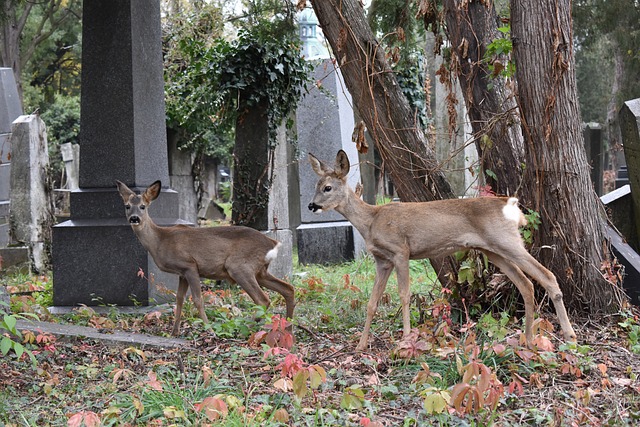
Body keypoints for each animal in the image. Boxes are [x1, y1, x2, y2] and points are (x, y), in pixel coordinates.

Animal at [115, 181, 296, 338]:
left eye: (143, 206)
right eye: (127, 206)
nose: (134, 218)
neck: (160, 241)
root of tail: (273, 243)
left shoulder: (189, 265)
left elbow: (197, 300)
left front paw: (210, 330)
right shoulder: (181, 273)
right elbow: (179, 299)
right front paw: (174, 332)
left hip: (239, 266)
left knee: (263, 299)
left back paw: (245, 327)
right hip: (260, 271)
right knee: (288, 288)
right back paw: (288, 328)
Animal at [308, 150, 576, 352]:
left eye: (328, 187)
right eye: (316, 185)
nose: (311, 205)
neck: (371, 221)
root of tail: (511, 205)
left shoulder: (401, 251)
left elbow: (404, 296)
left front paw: (406, 340)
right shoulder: (382, 261)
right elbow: (372, 303)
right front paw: (361, 346)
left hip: (507, 241)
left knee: (547, 275)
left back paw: (569, 336)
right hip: (494, 250)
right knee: (526, 284)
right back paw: (528, 339)